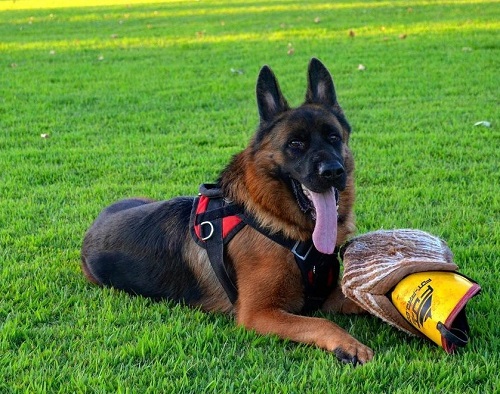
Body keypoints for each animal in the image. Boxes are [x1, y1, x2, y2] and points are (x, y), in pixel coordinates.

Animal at [81, 59, 376, 366]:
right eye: (295, 144)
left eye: (333, 138)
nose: (333, 172)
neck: (280, 225)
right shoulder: (259, 314)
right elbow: (321, 322)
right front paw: (349, 344)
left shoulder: (325, 296)